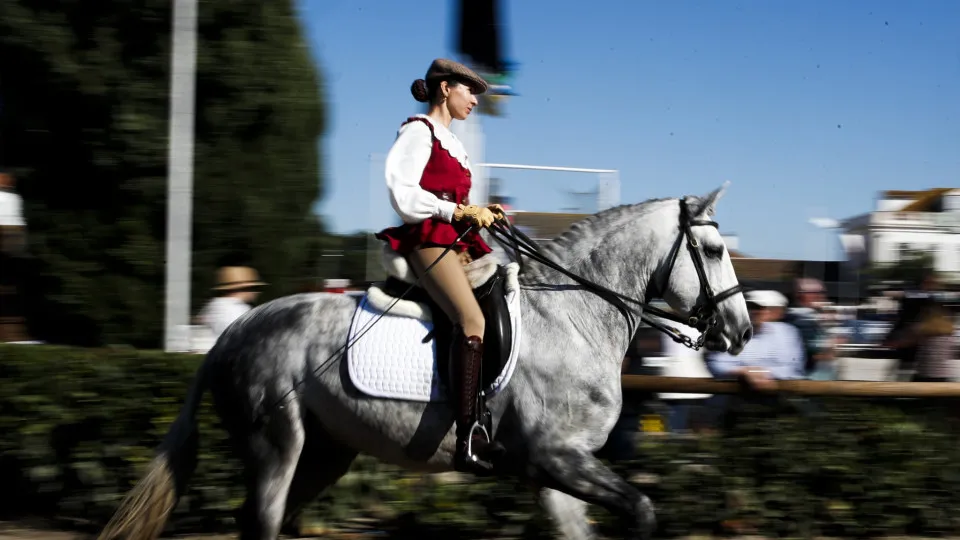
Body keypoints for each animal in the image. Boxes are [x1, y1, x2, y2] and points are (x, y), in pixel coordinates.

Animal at [96, 184, 752, 540]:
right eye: (713, 249)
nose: (742, 331)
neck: (576, 316)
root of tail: (233, 330)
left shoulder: (556, 473)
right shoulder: (555, 458)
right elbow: (641, 509)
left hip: (325, 451)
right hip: (273, 448)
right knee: (260, 520)